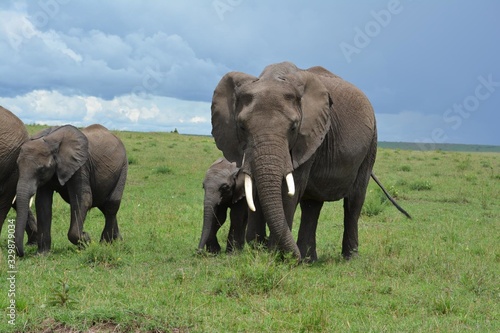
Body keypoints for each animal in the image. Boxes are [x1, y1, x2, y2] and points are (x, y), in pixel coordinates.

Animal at [14, 123, 128, 255]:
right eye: (17, 166)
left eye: (42, 169)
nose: (23, 252)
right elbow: (43, 203)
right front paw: (42, 254)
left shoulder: (81, 166)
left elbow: (82, 199)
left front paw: (86, 240)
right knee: (104, 206)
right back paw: (118, 241)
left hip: (123, 167)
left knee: (111, 205)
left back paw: (105, 243)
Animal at [211, 61, 410, 260]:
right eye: (242, 127)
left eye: (293, 127)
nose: (262, 242)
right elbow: (255, 189)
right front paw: (263, 251)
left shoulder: (309, 137)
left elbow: (289, 191)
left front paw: (277, 256)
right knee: (312, 206)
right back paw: (309, 260)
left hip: (370, 145)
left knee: (354, 201)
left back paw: (348, 258)